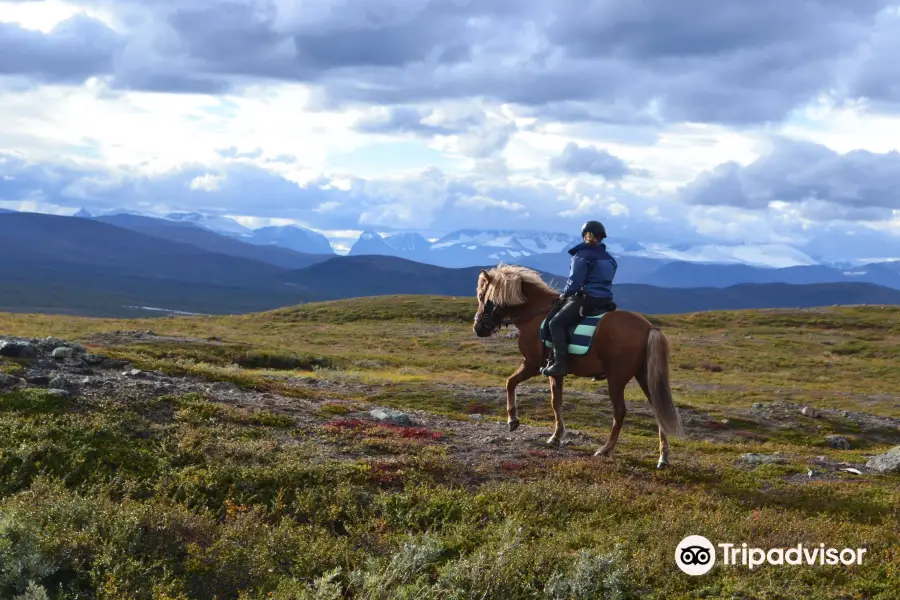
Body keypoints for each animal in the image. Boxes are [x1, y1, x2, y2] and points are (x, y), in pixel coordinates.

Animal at [472, 264, 684, 468]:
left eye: (482, 296)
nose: (478, 328)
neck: (534, 315)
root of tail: (649, 328)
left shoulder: (531, 364)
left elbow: (510, 383)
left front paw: (513, 420)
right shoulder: (554, 372)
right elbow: (556, 402)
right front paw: (556, 436)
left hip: (616, 379)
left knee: (620, 412)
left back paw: (606, 449)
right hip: (644, 376)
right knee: (658, 409)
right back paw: (663, 457)